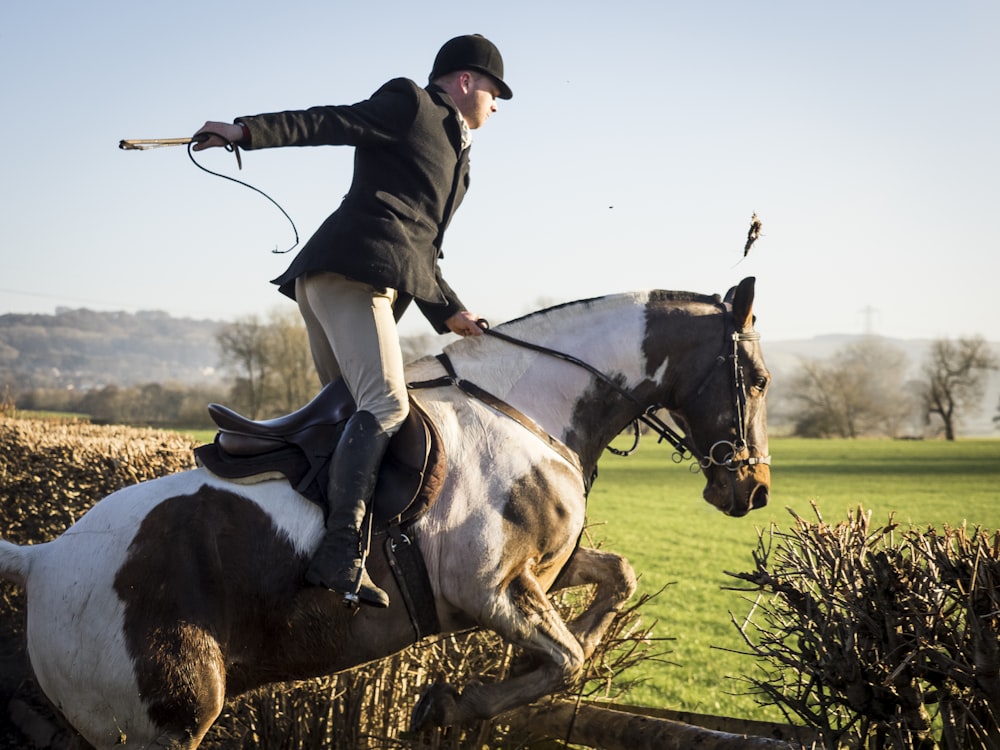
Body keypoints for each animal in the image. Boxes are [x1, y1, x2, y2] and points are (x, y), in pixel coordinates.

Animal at [0, 278, 768, 750]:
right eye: (758, 380)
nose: (754, 488)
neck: (527, 406)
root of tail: (44, 558)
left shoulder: (543, 572)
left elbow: (617, 581)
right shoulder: (486, 588)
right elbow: (569, 659)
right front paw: (450, 705)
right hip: (160, 722)